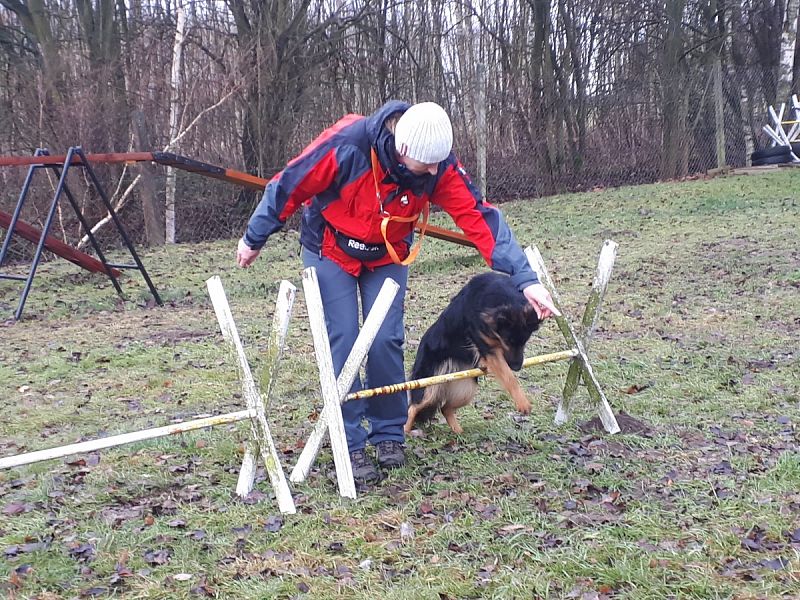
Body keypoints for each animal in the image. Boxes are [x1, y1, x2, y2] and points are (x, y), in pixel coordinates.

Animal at [406, 274, 544, 436]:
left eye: (525, 341)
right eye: (507, 341)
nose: (517, 367)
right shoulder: (487, 347)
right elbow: (509, 377)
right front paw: (523, 402)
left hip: (466, 389)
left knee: (445, 408)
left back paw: (459, 432)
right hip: (430, 387)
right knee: (413, 408)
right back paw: (406, 431)